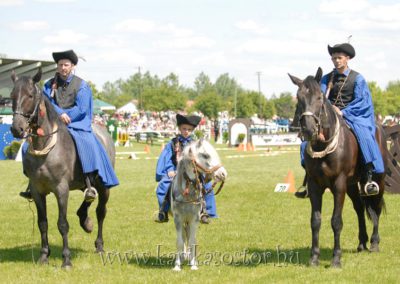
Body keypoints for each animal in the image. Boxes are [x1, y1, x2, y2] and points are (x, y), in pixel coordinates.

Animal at [9, 69, 115, 268]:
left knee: (101, 212)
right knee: (88, 199)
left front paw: (66, 260)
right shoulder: (37, 191)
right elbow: (43, 223)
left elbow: (62, 224)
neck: (45, 148)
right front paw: (44, 256)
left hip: (104, 187)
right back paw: (84, 219)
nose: (16, 129)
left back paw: (99, 245)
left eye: (30, 95)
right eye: (12, 96)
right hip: (84, 184)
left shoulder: (61, 190)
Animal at [171, 139, 228, 272]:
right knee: (183, 236)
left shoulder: (194, 219)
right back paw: (183, 256)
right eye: (206, 155)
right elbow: (179, 241)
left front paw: (193, 264)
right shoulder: (178, 219)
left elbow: (192, 241)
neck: (187, 193)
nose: (223, 174)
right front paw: (177, 265)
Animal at [288, 67, 388, 268]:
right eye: (299, 97)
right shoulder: (315, 185)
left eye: (320, 97)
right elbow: (315, 221)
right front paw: (314, 258)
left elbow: (336, 221)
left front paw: (336, 259)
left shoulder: (339, 184)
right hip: (352, 185)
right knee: (359, 208)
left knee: (376, 208)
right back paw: (362, 242)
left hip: (377, 181)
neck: (323, 147)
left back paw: (374, 243)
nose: (308, 130)